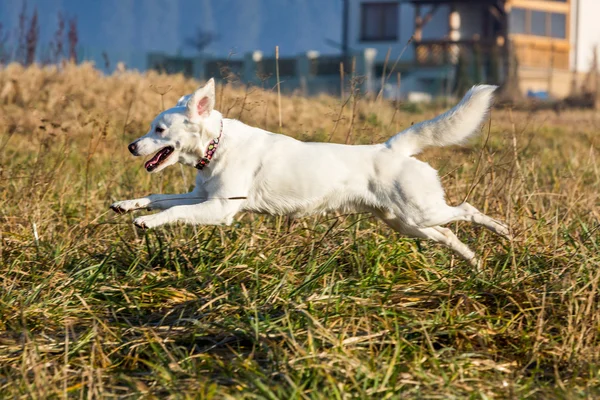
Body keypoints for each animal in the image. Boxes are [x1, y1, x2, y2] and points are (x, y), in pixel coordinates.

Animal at [110, 78, 508, 268]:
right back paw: (475, 263)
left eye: (159, 129)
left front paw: (147, 223)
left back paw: (503, 232)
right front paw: (127, 205)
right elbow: (158, 198)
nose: (130, 147)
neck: (216, 147)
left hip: (421, 213)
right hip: (406, 223)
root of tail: (392, 147)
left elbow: (173, 211)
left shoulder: (220, 209)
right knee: (450, 235)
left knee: (468, 210)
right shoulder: (201, 197)